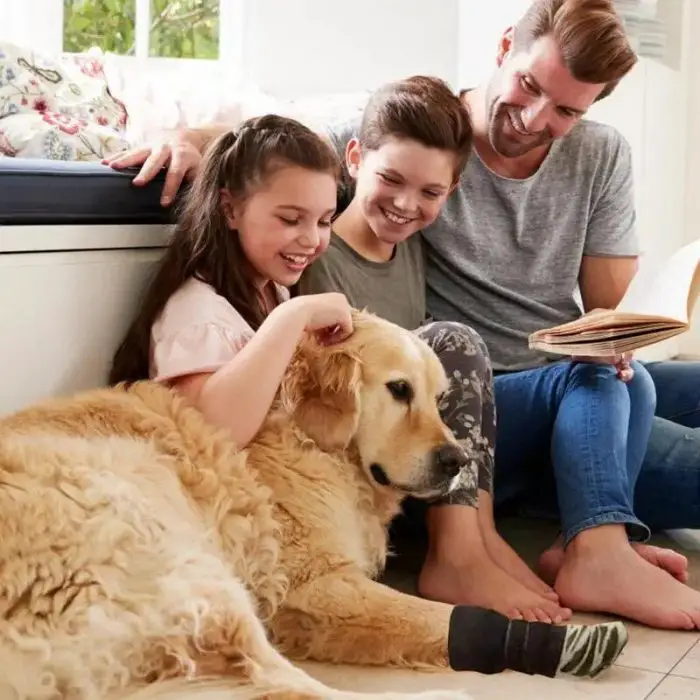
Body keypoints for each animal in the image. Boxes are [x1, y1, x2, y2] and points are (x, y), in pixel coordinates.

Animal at [0, 310, 628, 700]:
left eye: (437, 396)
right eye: (399, 390)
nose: (456, 459)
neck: (311, 441)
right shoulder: (310, 584)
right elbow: (433, 614)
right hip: (182, 559)